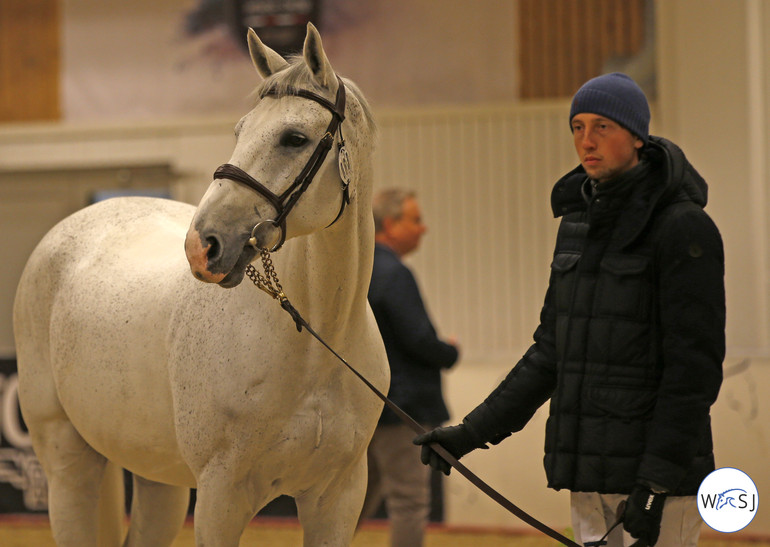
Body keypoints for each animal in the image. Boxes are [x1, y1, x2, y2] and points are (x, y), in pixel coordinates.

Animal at [10, 22, 384, 547]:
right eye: (239, 131)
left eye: (294, 137)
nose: (201, 246)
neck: (315, 345)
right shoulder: (220, 497)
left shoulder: (337, 498)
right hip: (67, 462)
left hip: (158, 476)